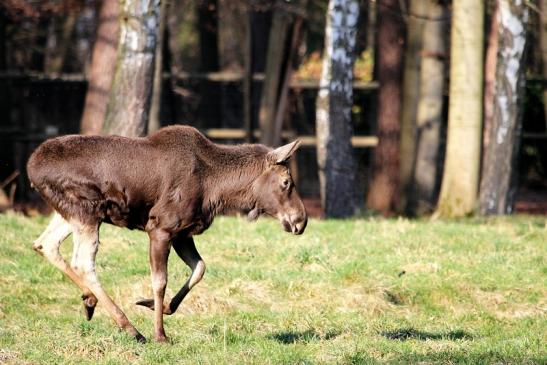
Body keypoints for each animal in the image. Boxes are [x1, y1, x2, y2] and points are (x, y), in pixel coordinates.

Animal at [27, 124, 308, 342]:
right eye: (286, 182)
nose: (301, 221)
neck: (216, 188)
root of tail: (31, 167)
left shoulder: (183, 233)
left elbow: (200, 268)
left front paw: (156, 306)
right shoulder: (160, 227)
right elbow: (160, 281)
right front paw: (160, 334)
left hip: (70, 213)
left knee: (44, 243)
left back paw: (89, 299)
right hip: (87, 209)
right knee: (83, 261)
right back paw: (131, 329)